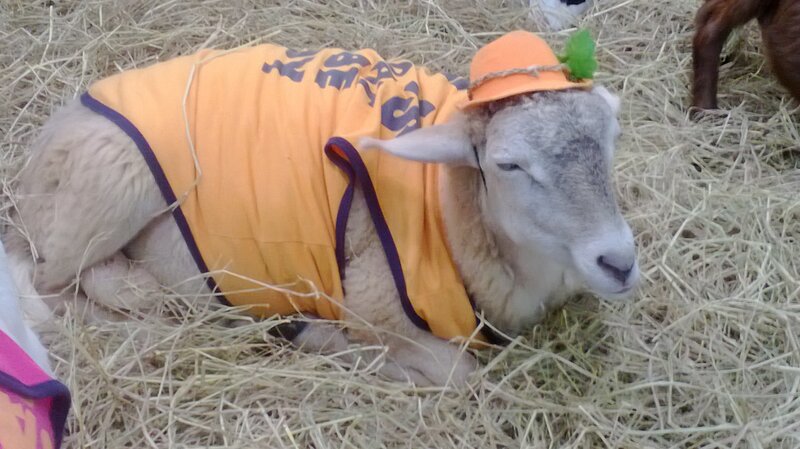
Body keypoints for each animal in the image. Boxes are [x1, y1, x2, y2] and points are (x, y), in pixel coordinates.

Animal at [5, 32, 639, 386]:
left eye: (612, 139)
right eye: (508, 164)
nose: (619, 262)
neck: (446, 207)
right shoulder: (373, 302)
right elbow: (455, 373)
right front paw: (317, 337)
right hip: (111, 182)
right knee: (50, 284)